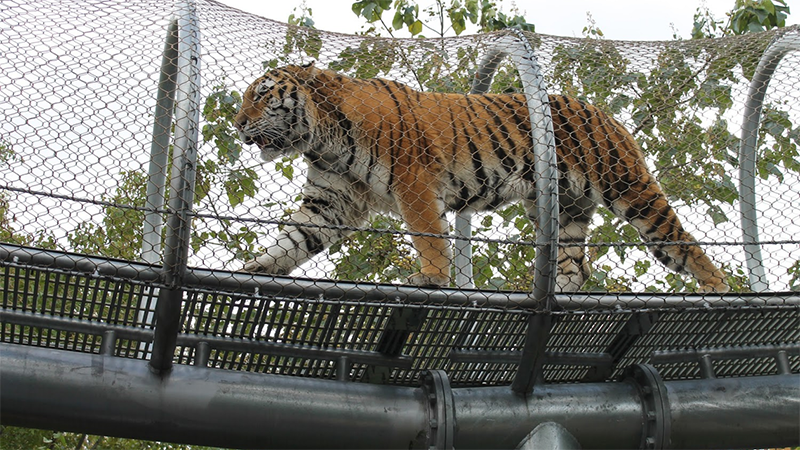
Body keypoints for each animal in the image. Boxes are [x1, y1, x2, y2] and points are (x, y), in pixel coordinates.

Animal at [233, 64, 732, 296]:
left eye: (261, 96)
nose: (237, 125)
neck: (322, 137)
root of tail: (604, 113)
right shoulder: (331, 200)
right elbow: (294, 238)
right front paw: (256, 268)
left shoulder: (414, 181)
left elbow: (429, 236)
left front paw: (432, 279)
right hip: (563, 209)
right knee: (576, 266)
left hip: (629, 188)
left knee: (682, 243)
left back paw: (718, 288)